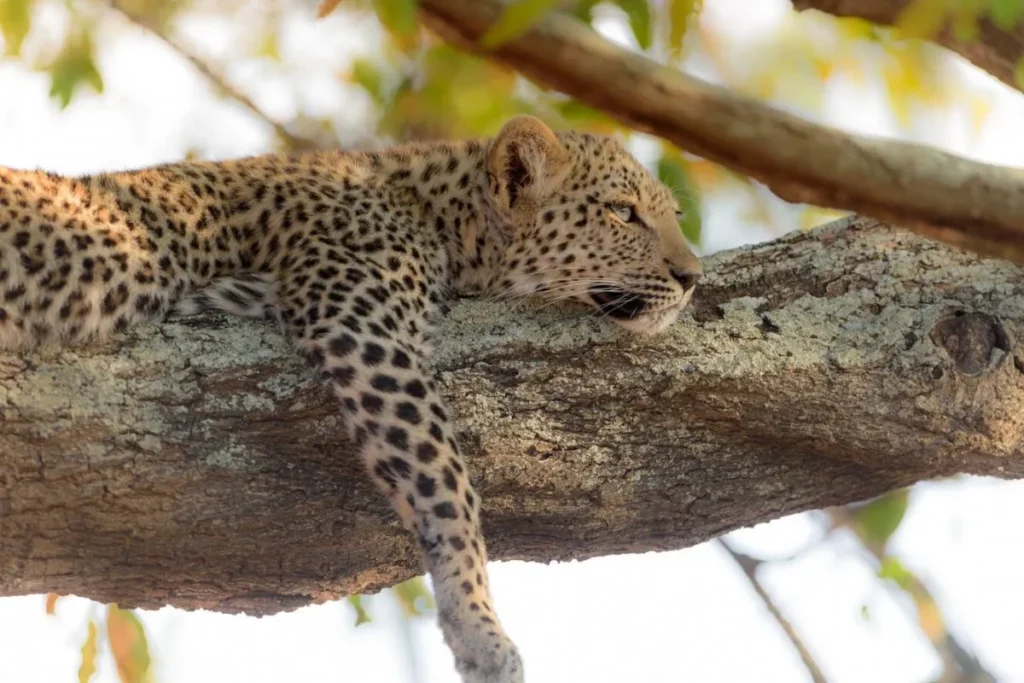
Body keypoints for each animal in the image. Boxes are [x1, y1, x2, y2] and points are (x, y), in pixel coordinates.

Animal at [0, 114, 700, 679]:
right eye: (622, 212)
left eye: (670, 216)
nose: (693, 277)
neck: (441, 213)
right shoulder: (362, 324)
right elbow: (445, 480)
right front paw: (479, 628)